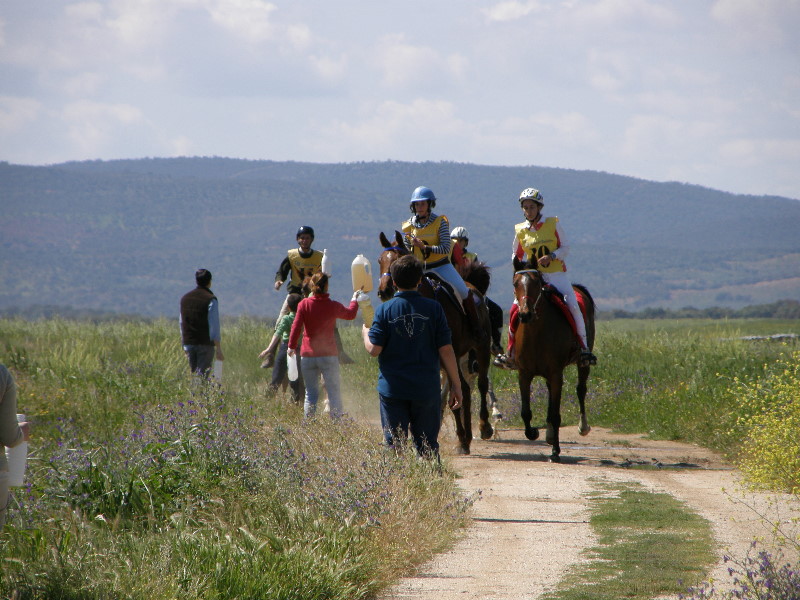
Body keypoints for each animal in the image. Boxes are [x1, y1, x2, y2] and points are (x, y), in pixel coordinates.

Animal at [376, 231, 494, 454]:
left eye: (398, 259)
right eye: (380, 260)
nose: (385, 290)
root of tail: (472, 287)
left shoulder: (451, 353)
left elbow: (457, 393)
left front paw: (464, 438)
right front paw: (459, 438)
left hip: (481, 348)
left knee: (481, 385)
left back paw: (484, 428)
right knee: (461, 391)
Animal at [512, 255, 592, 462]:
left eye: (536, 282)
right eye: (516, 283)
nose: (525, 314)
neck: (536, 334)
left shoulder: (556, 374)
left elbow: (556, 415)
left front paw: (555, 452)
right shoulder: (524, 374)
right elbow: (525, 411)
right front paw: (533, 433)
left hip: (583, 363)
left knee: (581, 389)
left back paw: (583, 427)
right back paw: (548, 434)